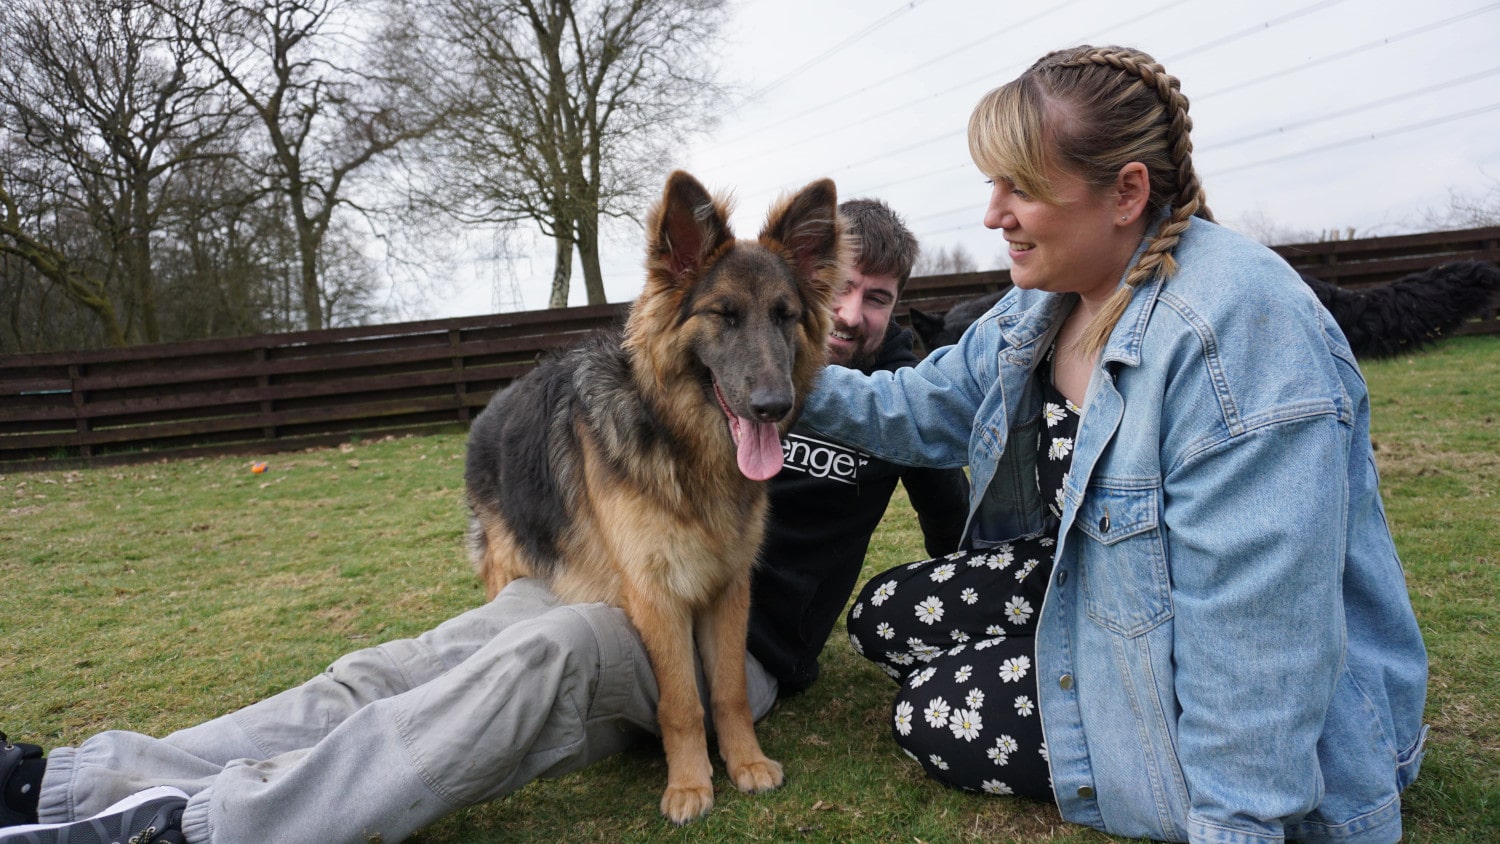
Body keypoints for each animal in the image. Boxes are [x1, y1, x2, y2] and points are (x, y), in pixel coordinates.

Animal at [462, 168, 852, 821]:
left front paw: (745, 762)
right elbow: (682, 703)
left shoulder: (728, 588)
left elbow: (728, 690)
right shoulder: (657, 597)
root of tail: (485, 415)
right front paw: (690, 784)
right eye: (724, 315)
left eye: (785, 316)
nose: (773, 406)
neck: (680, 443)